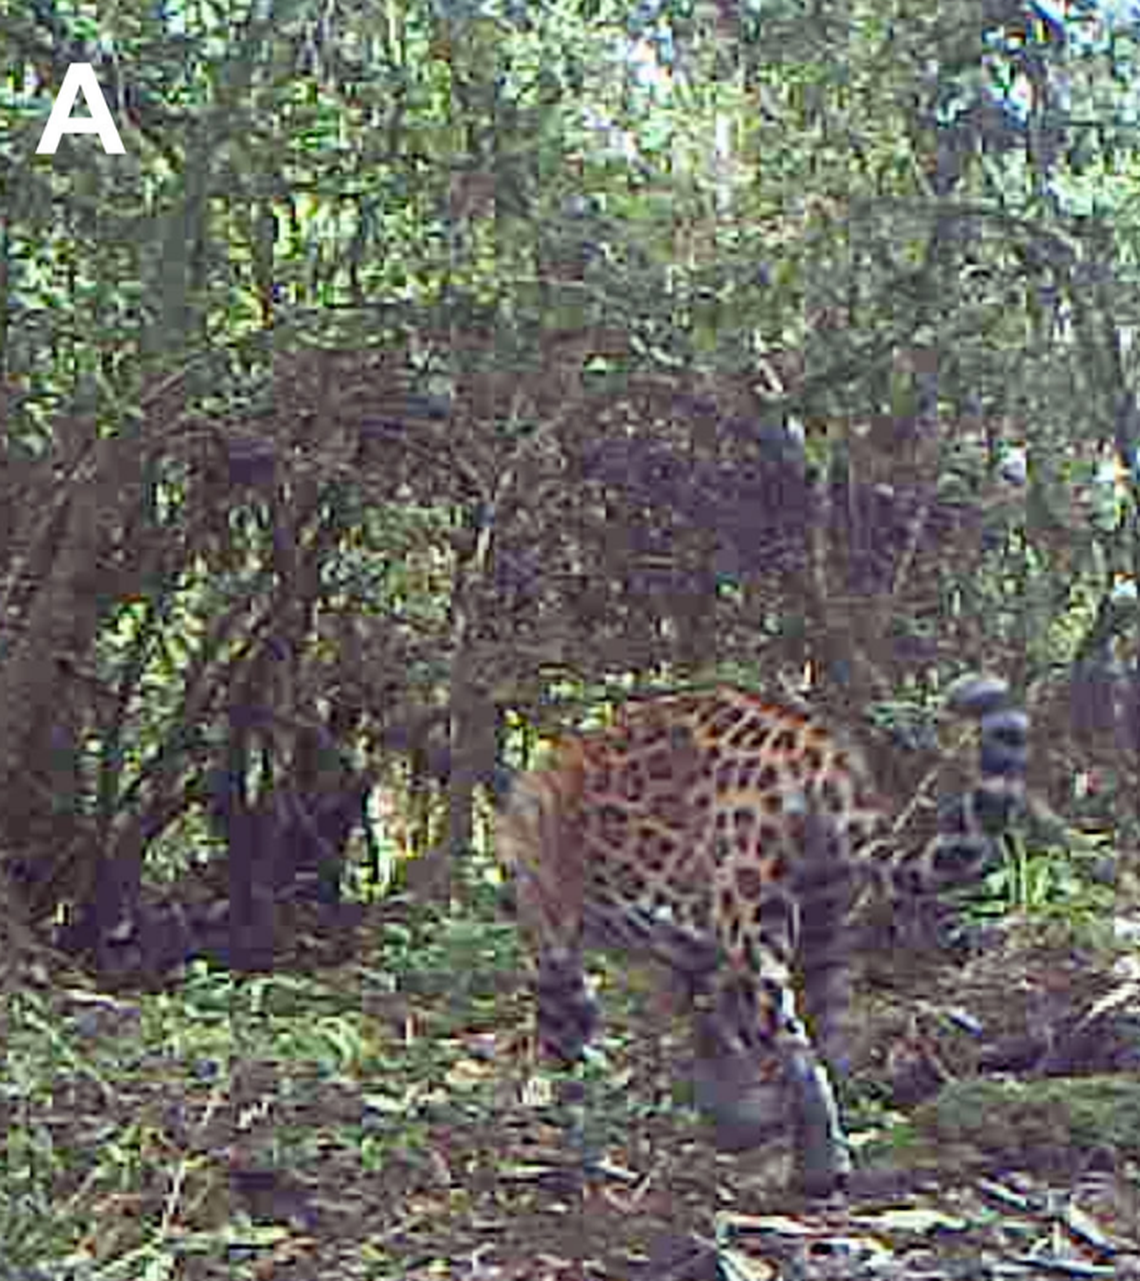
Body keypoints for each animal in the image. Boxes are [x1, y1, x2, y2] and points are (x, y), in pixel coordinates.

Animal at [495, 676, 1029, 1196]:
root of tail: (816, 747)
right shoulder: (690, 953)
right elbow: (707, 1029)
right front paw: (731, 1113)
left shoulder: (556, 939)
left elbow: (566, 1022)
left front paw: (539, 1091)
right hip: (824, 920)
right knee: (828, 1038)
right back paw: (820, 1148)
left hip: (749, 912)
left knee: (795, 1047)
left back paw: (811, 1170)